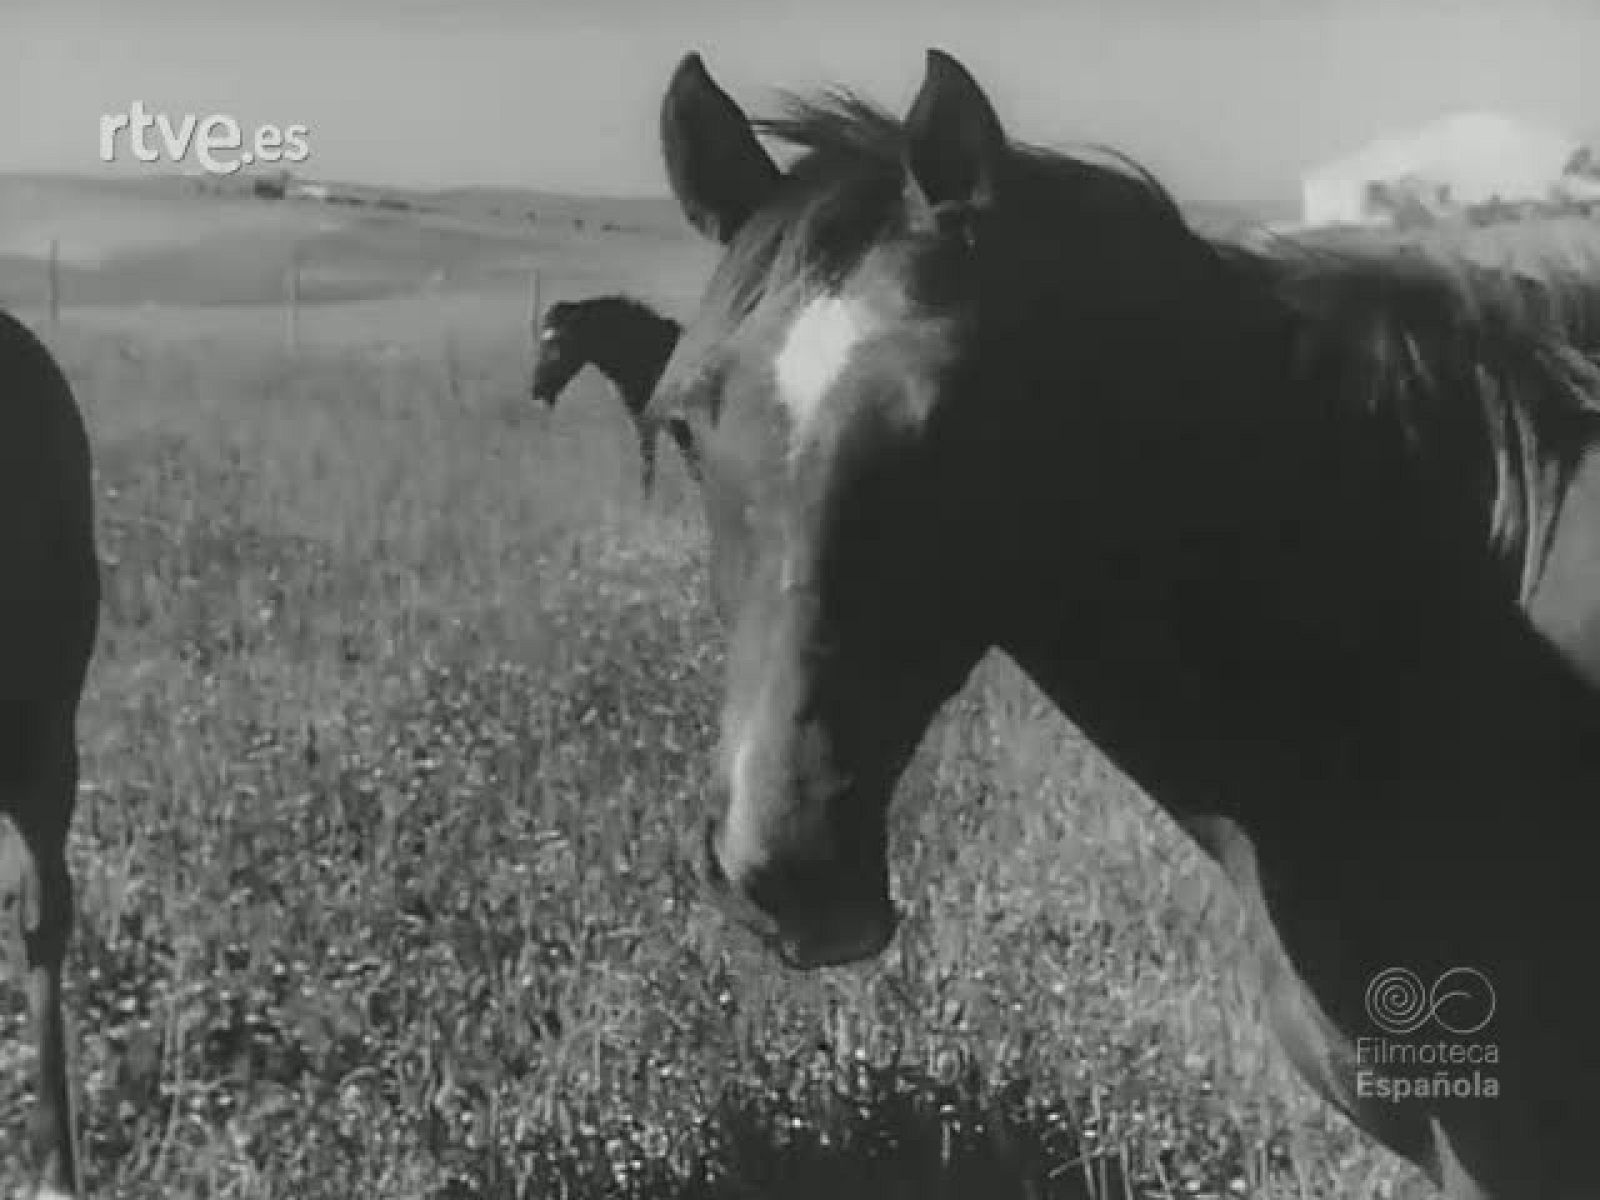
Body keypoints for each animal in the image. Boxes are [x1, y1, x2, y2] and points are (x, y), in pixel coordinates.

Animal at [531, 293, 702, 498]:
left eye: (561, 342)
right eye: (541, 343)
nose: (537, 390)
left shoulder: (667, 422)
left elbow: (684, 468)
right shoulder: (645, 423)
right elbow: (651, 470)